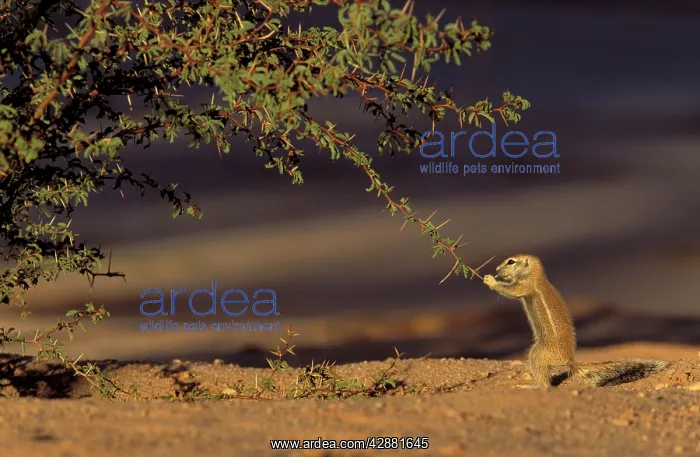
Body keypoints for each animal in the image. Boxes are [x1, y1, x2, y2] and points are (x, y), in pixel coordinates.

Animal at [482, 254, 668, 389]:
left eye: (511, 261)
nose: (497, 269)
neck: (535, 276)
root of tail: (569, 360)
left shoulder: (525, 285)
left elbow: (512, 291)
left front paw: (490, 280)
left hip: (537, 354)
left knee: (546, 385)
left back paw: (530, 387)